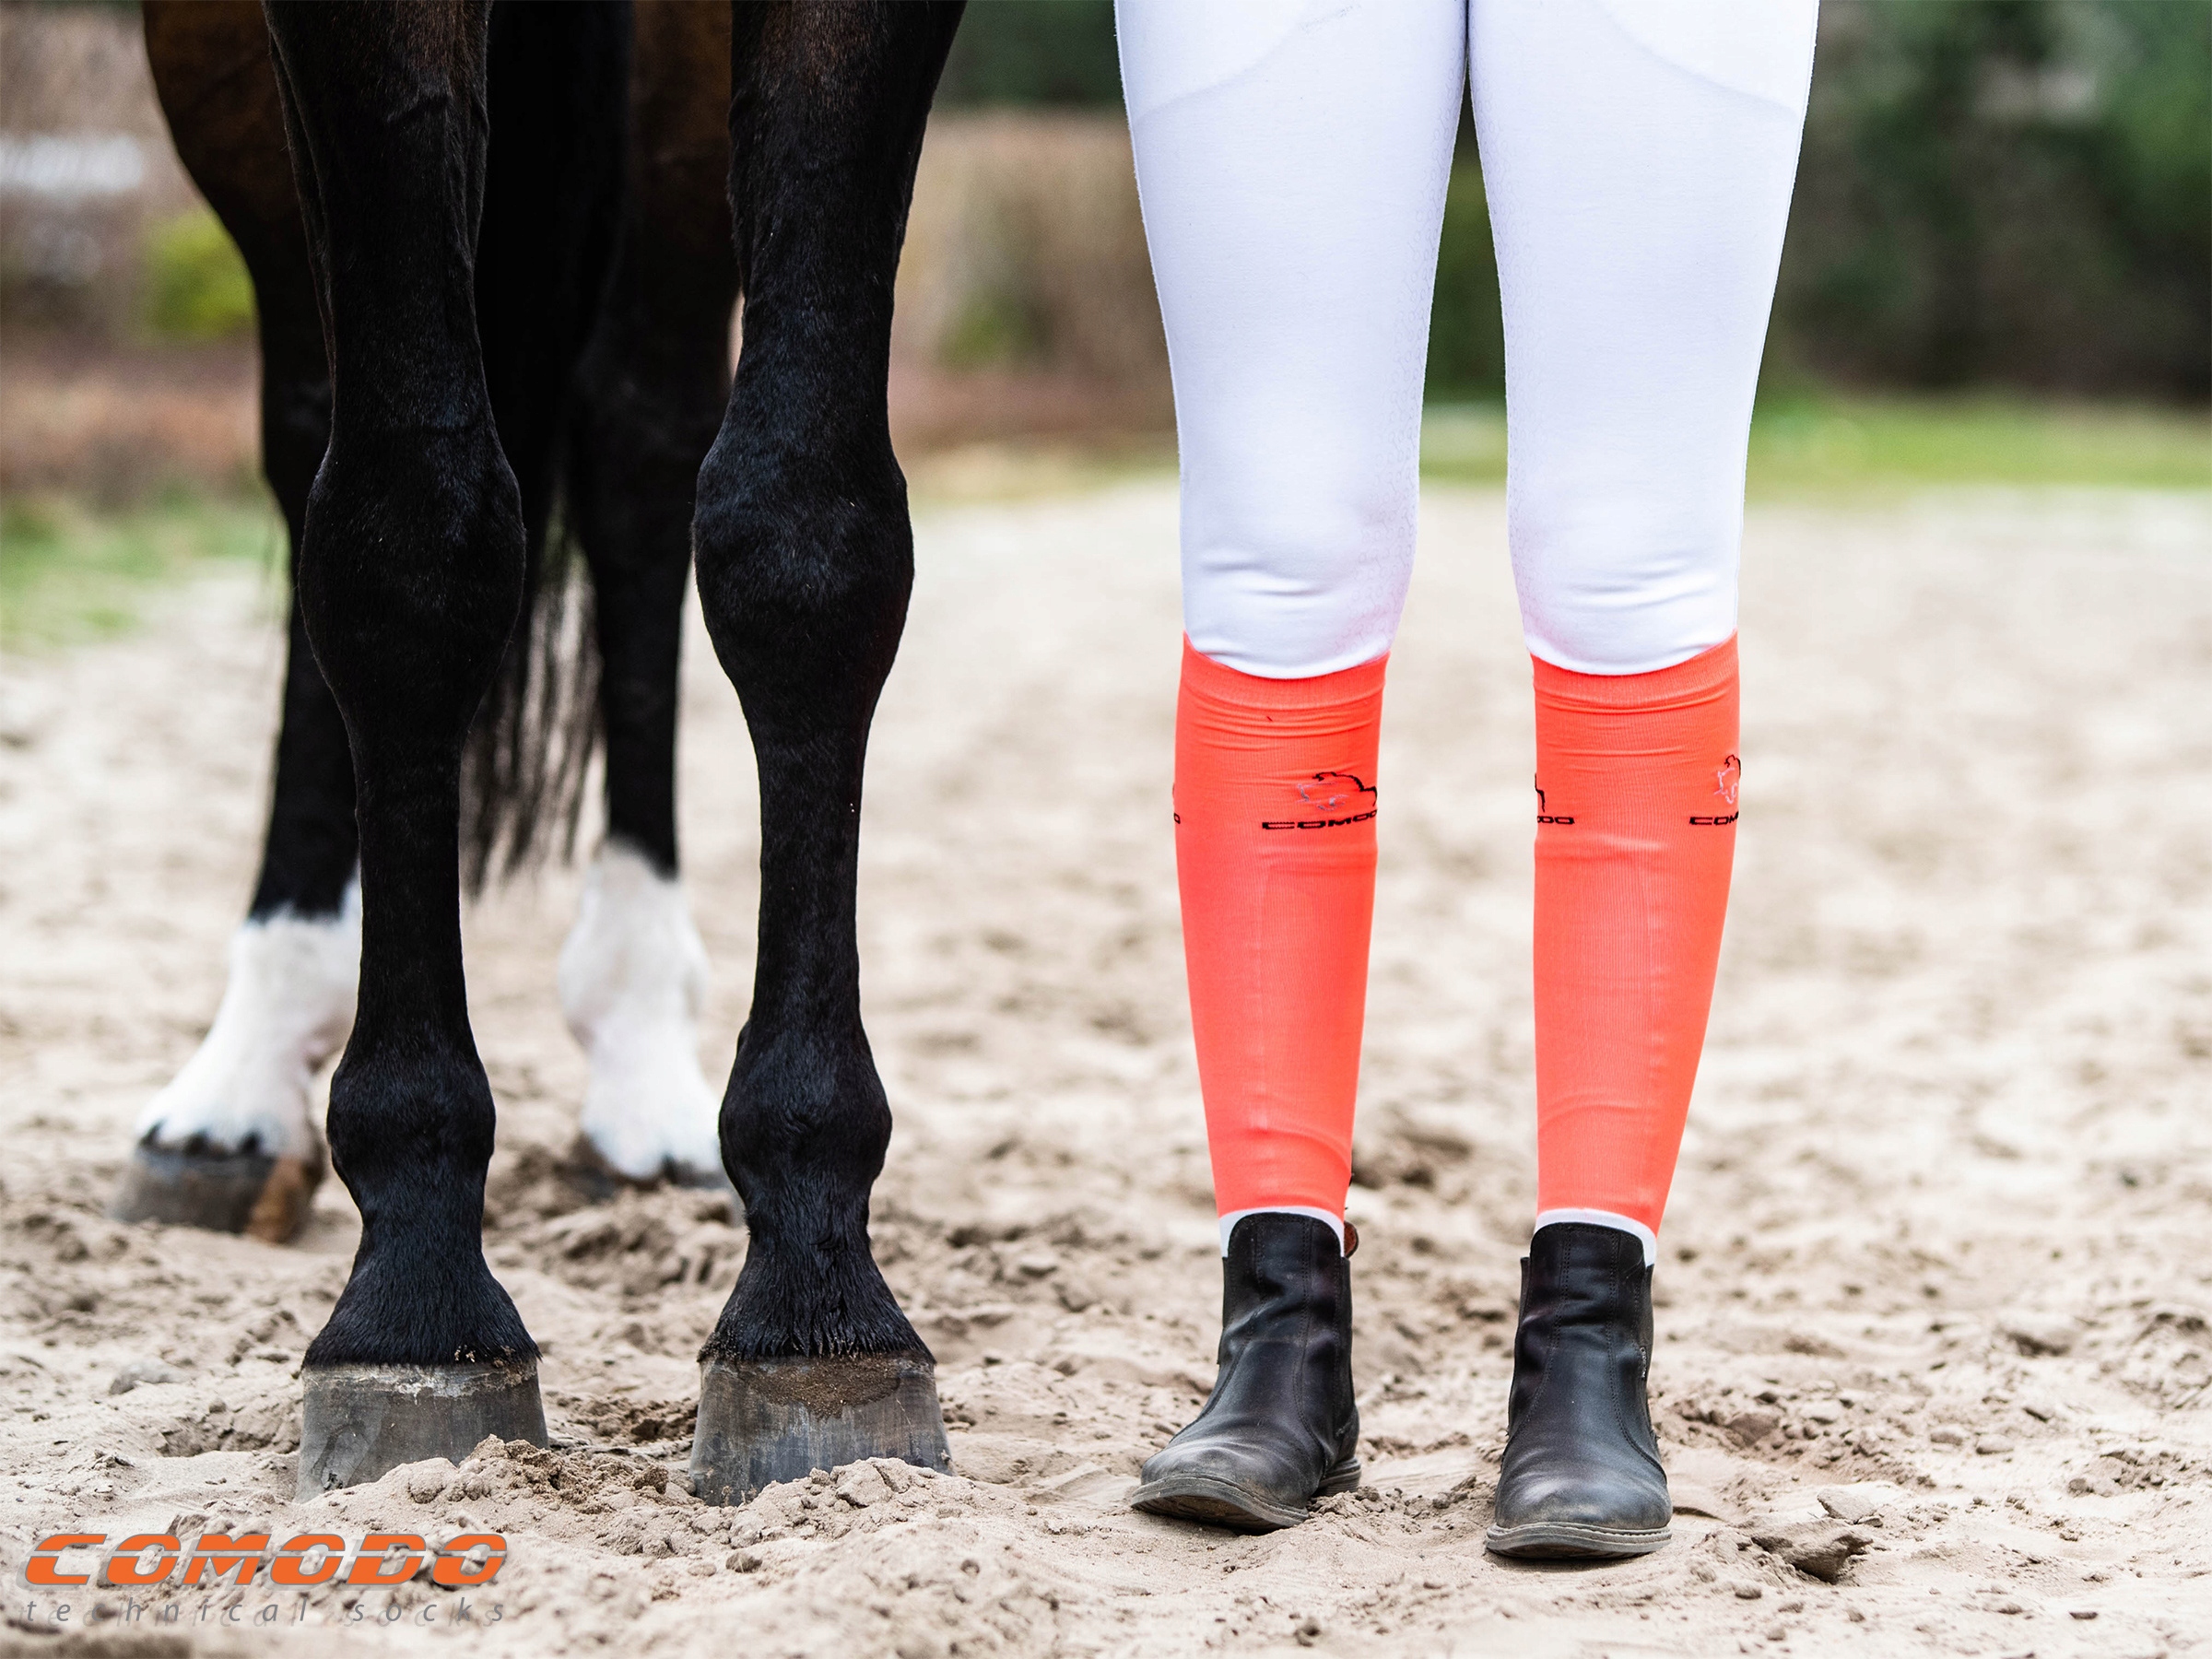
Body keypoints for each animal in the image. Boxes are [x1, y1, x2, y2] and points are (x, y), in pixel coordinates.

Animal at [114, 0, 968, 1507]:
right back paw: (239, 1079)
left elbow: (807, 530)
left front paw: (816, 1286)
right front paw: (415, 1296)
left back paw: (640, 1048)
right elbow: (405, 533)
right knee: (315, 424)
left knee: (642, 445)